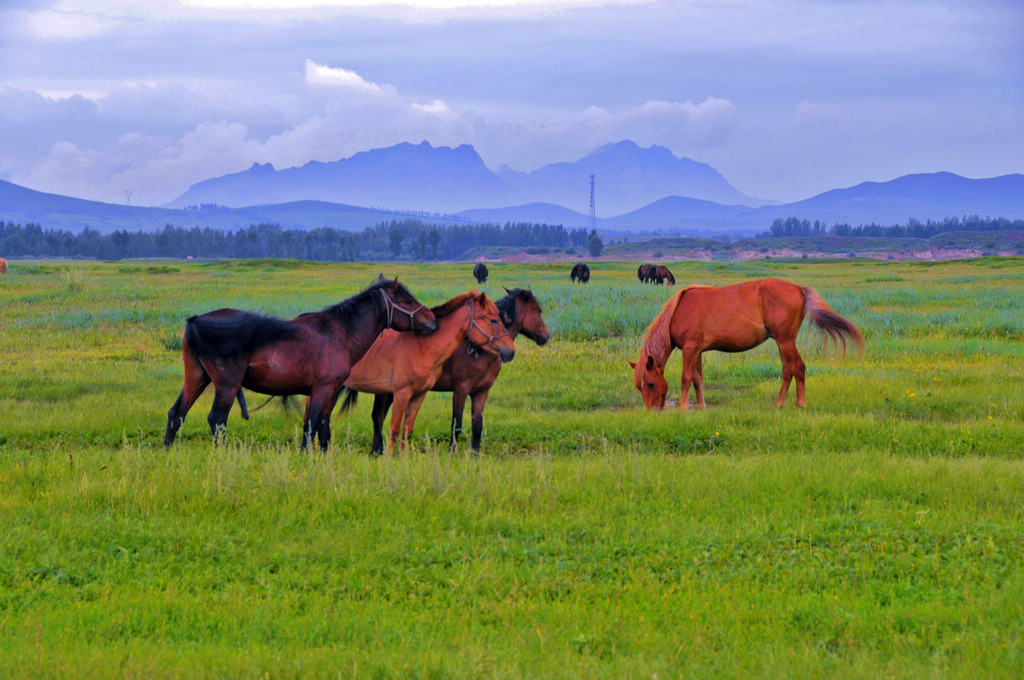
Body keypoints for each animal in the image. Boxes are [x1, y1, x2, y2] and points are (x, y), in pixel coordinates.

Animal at [165, 276, 438, 450]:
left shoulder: (332, 392)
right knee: (217, 419)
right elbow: (311, 425)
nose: (433, 320)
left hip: (196, 378)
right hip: (226, 386)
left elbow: (324, 428)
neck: (340, 333)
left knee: (177, 413)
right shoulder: (322, 389)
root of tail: (196, 321)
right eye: (407, 300)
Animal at [364, 288, 548, 456]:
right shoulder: (460, 390)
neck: (478, 351)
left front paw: (475, 456)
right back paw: (376, 452)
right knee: (378, 417)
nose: (546, 336)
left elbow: (477, 426)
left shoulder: (481, 392)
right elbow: (456, 425)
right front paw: (451, 453)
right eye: (538, 311)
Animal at [630, 276, 864, 409]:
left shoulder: (690, 348)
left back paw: (798, 404)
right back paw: (781, 403)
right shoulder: (697, 351)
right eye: (639, 387)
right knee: (788, 369)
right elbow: (698, 378)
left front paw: (682, 409)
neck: (678, 311)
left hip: (785, 340)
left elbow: (686, 379)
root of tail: (798, 288)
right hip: (783, 342)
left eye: (651, 384)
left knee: (797, 367)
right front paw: (700, 406)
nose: (651, 411)